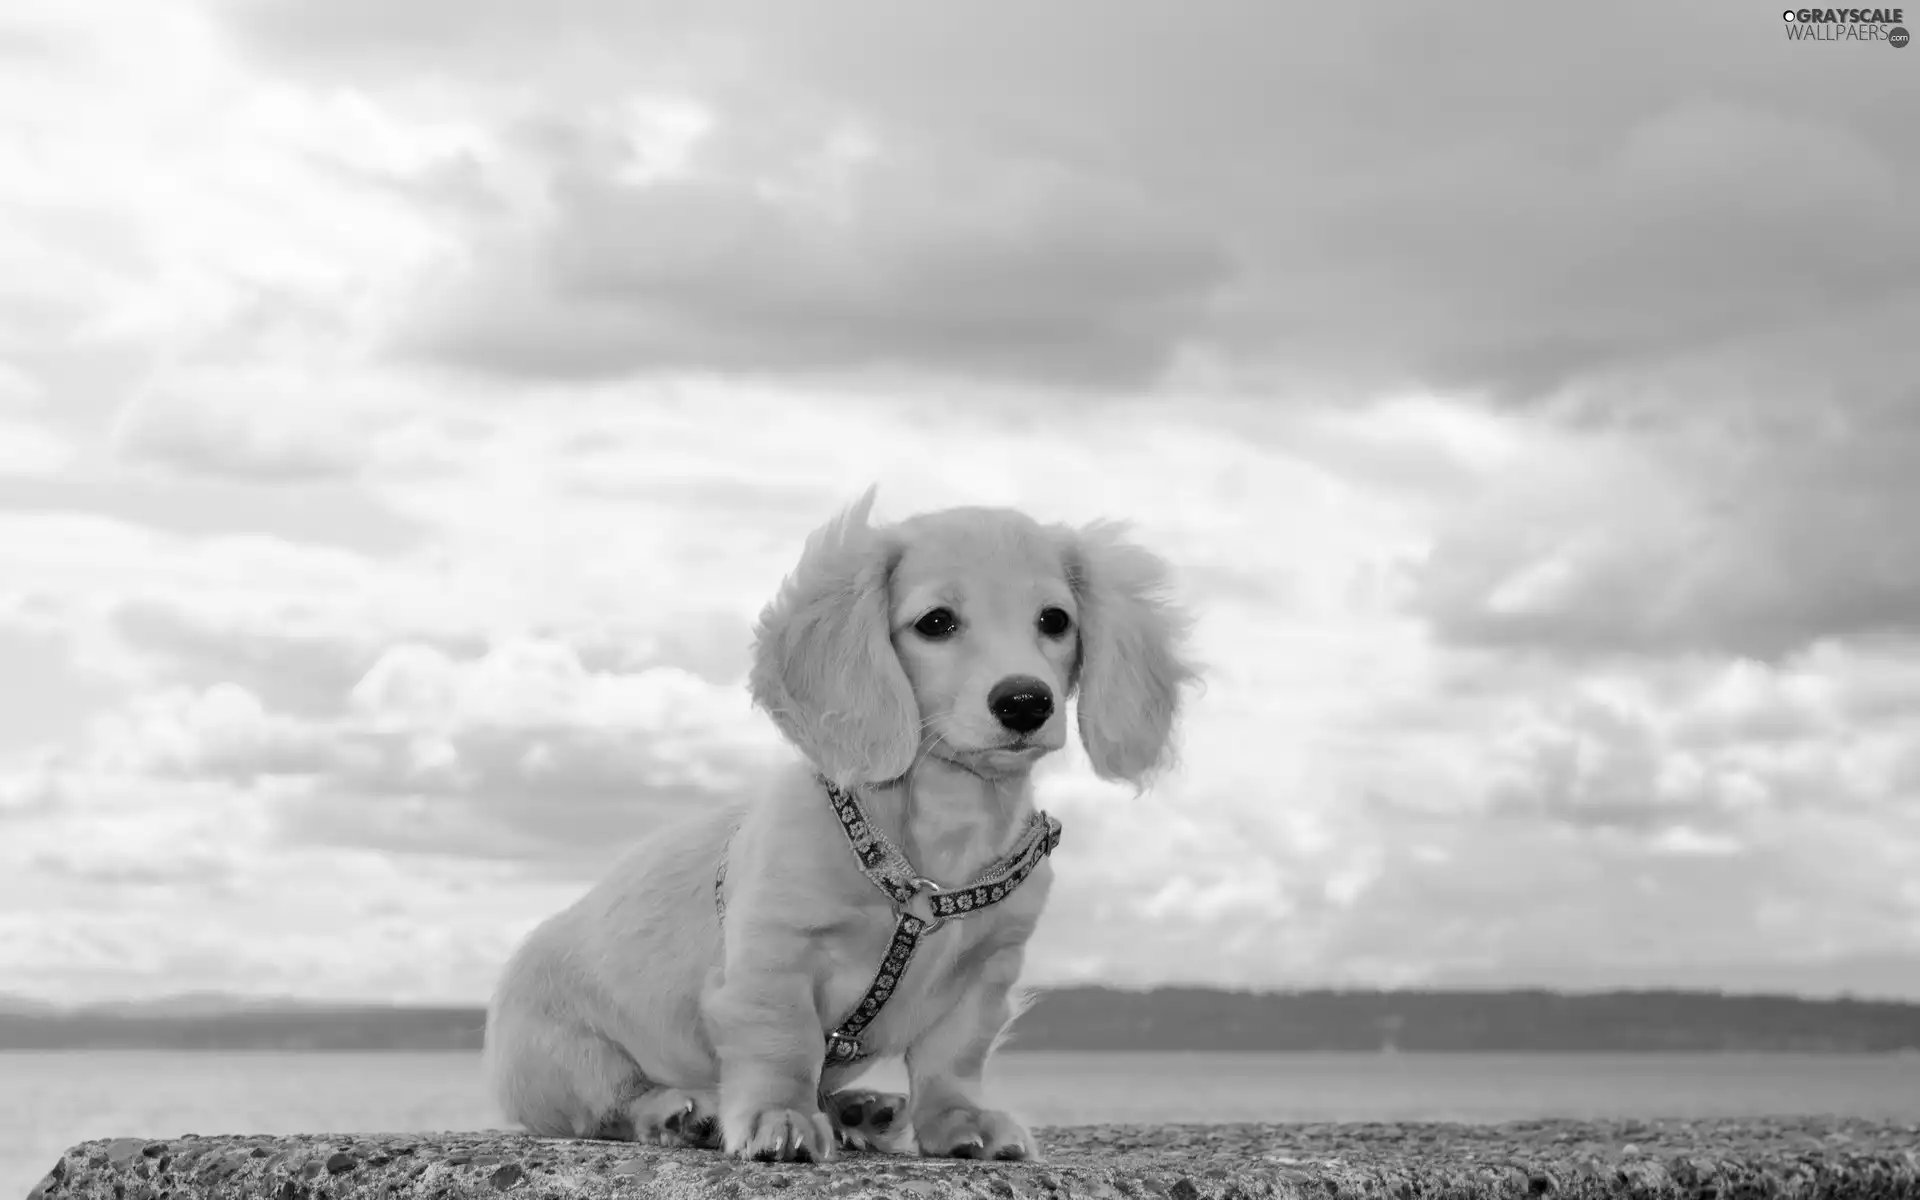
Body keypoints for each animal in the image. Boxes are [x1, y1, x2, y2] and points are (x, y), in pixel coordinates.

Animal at [483, 487, 1198, 1159]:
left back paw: (859, 1108)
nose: (1025, 701)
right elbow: (784, 1044)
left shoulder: (986, 972)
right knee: (607, 1106)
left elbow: (953, 1059)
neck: (933, 848)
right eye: (936, 622)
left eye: (1055, 620)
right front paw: (781, 1118)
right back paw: (678, 1112)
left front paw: (960, 1121)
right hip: (567, 1058)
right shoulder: (774, 955)